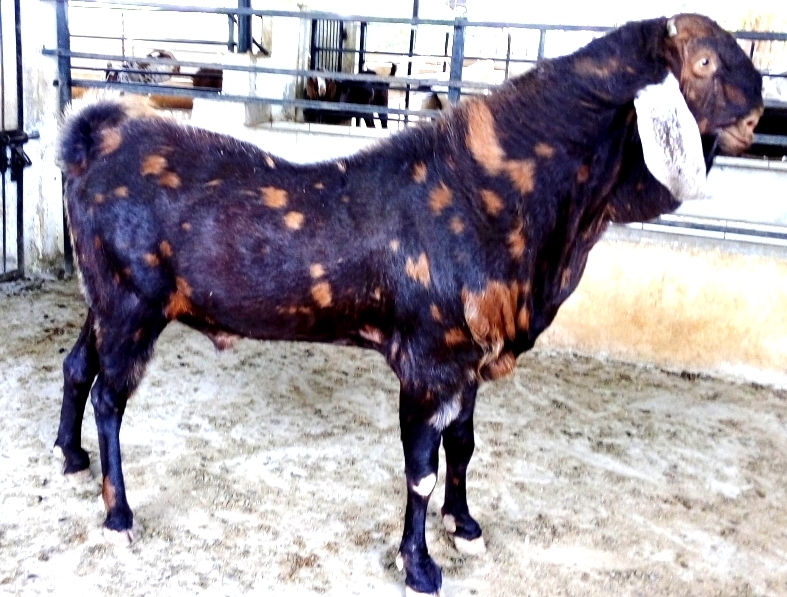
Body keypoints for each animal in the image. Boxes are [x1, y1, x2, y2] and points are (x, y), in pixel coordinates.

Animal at [55, 14, 761, 596]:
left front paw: (465, 524)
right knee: (109, 399)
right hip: (132, 306)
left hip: (104, 299)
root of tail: (96, 138)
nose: (758, 109)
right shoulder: (427, 362)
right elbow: (421, 468)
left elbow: (464, 445)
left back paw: (69, 456)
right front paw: (419, 567)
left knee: (75, 365)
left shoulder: (467, 361)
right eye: (704, 62)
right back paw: (117, 513)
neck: (489, 193)